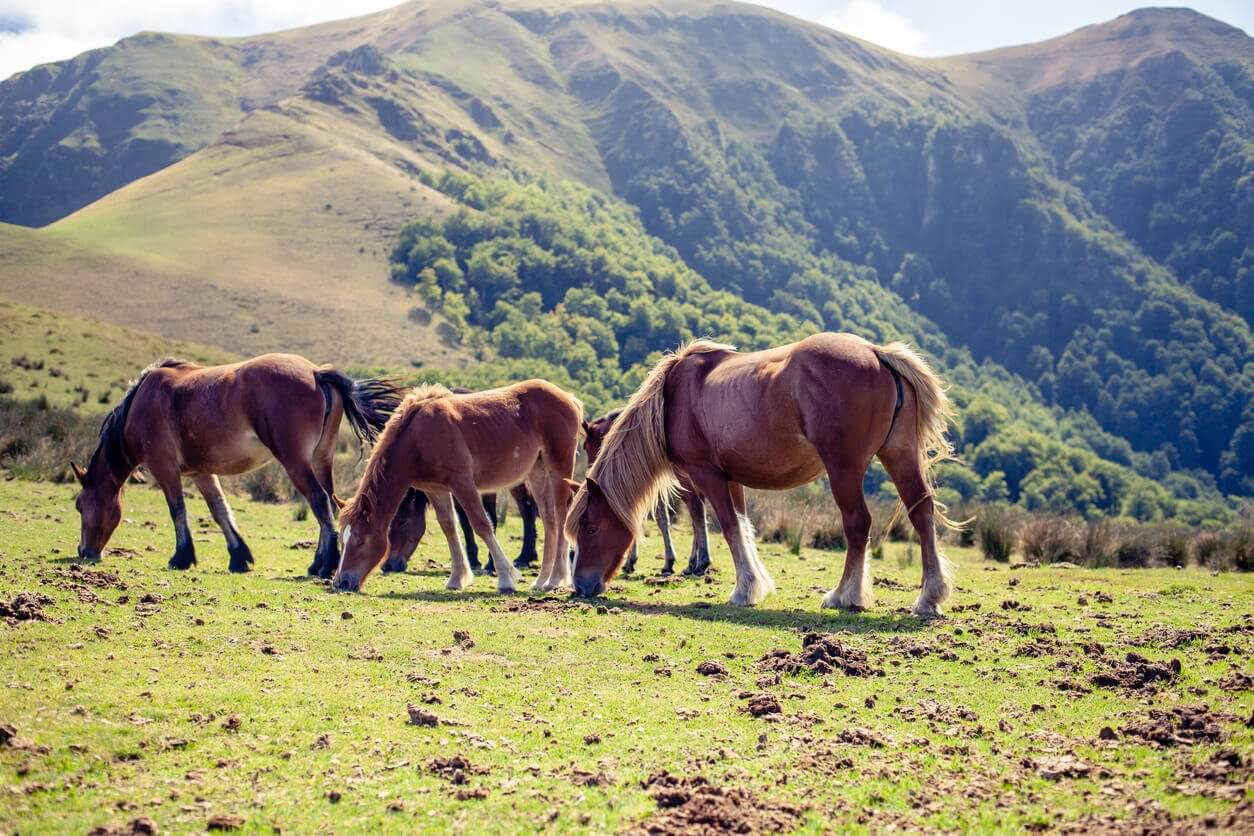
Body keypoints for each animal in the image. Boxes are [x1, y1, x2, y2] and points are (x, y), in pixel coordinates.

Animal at [71, 355, 402, 578]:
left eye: (79, 505)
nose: (85, 552)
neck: (143, 402)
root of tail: (315, 372)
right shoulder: (201, 473)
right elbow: (220, 511)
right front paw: (238, 557)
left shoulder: (164, 469)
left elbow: (178, 510)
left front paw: (181, 557)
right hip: (321, 459)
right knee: (330, 504)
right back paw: (318, 562)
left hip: (296, 462)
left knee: (319, 501)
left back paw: (325, 564)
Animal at [333, 380, 582, 593]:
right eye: (341, 540)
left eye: (360, 540)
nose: (341, 582)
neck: (418, 436)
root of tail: (568, 398)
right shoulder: (436, 489)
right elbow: (449, 527)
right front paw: (456, 578)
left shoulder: (463, 483)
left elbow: (481, 524)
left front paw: (505, 578)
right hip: (537, 470)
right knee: (549, 518)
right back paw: (541, 580)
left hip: (558, 467)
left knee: (561, 514)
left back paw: (555, 579)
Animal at [582, 408, 710, 576]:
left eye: (586, 446)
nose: (591, 474)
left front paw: (665, 561)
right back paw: (692, 563)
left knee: (696, 510)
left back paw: (700, 563)